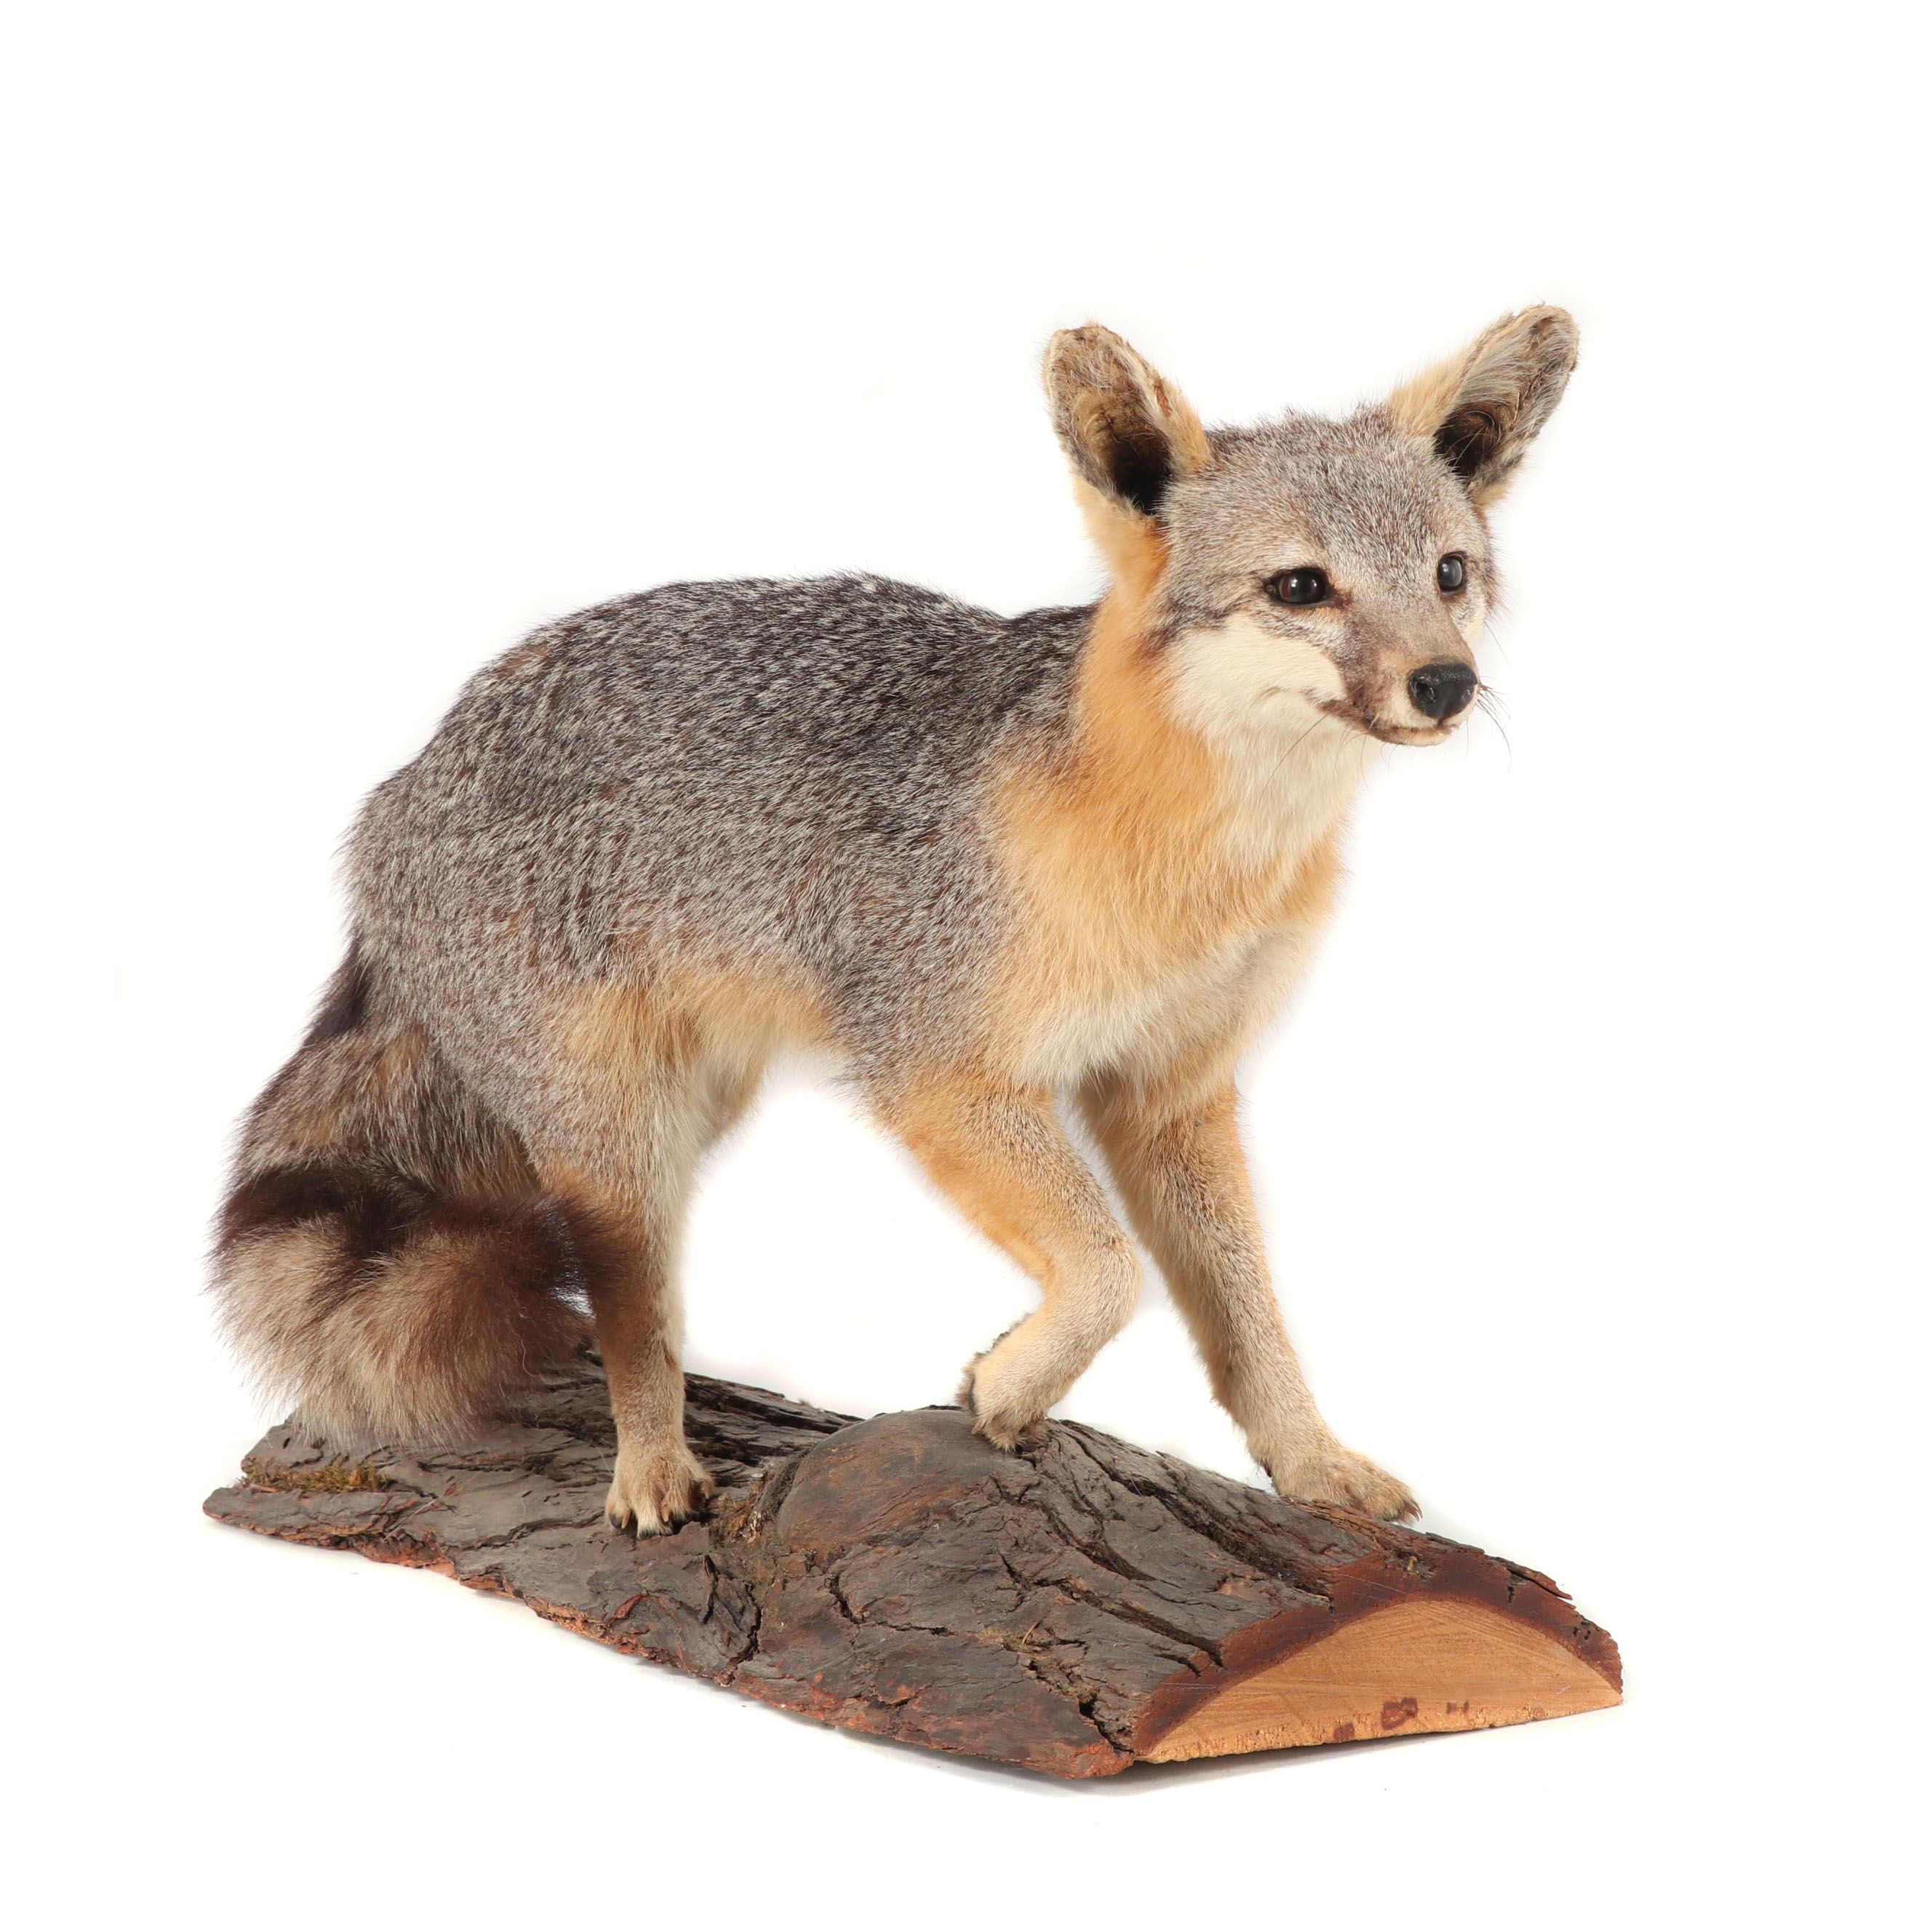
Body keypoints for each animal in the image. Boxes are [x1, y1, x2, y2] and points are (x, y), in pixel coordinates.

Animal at [215, 308, 1577, 1534]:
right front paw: (1010, 1387)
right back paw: (649, 1468)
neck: (1191, 855)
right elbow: (1107, 1271)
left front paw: (1306, 1459)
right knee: (629, 1317)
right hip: (621, 1152)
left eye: (1449, 575)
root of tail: (403, 787)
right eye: (1303, 587)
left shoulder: (1171, 1090)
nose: (1446, 684)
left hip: (690, 1111)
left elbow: (1247, 1317)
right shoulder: (939, 1074)